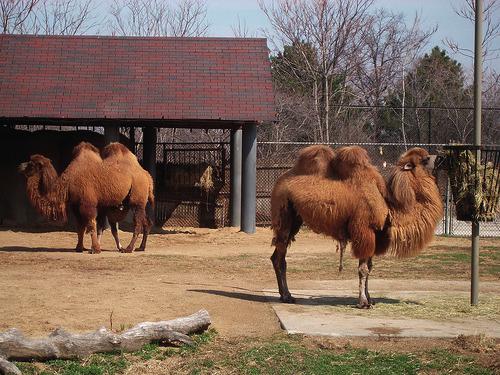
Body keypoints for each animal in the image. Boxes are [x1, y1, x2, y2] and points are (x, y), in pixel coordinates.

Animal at [18, 142, 153, 254]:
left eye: (31, 164)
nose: (19, 166)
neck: (68, 183)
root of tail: (147, 175)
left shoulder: (88, 203)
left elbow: (91, 224)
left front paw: (95, 249)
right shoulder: (75, 205)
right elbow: (80, 226)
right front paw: (79, 247)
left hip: (137, 197)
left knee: (138, 223)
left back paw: (128, 249)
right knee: (145, 221)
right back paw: (140, 247)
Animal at [272, 146, 444, 308]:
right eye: (425, 159)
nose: (440, 158)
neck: (389, 207)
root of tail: (280, 181)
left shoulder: (375, 235)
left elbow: (370, 267)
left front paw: (370, 299)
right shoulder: (364, 232)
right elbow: (363, 269)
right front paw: (363, 302)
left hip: (296, 219)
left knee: (276, 256)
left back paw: (284, 295)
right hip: (284, 214)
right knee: (280, 257)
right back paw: (287, 296)